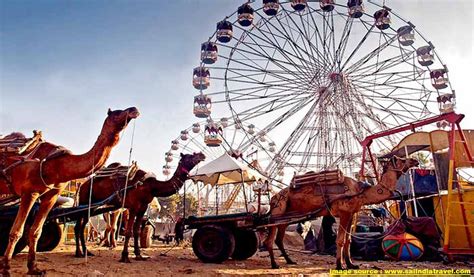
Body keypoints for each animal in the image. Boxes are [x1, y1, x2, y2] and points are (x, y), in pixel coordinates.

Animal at [0, 105, 140, 274]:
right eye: (117, 113)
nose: (134, 109)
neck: (57, 165)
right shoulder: (29, 192)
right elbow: (16, 231)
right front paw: (5, 268)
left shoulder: (51, 196)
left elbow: (35, 232)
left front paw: (34, 267)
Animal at [75, 151, 205, 260]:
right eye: (189, 156)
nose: (202, 155)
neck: (150, 186)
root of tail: (81, 186)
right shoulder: (133, 206)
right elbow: (128, 231)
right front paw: (125, 256)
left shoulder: (142, 208)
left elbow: (136, 231)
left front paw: (138, 254)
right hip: (85, 202)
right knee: (79, 226)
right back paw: (79, 253)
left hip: (92, 207)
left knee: (81, 227)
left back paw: (86, 252)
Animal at [262, 156, 418, 268]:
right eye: (401, 159)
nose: (415, 160)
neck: (360, 192)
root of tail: (273, 197)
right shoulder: (344, 213)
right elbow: (341, 240)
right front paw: (339, 265)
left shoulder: (352, 214)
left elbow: (349, 239)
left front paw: (351, 264)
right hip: (278, 210)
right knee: (270, 239)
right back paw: (275, 264)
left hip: (286, 217)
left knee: (278, 239)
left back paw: (289, 261)